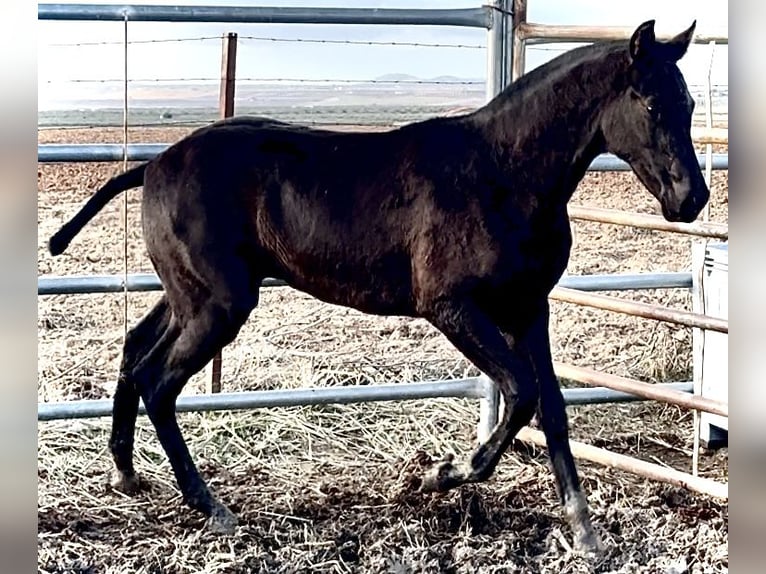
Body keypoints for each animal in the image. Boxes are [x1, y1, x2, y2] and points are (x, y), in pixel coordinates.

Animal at [48, 19, 708, 554]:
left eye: (691, 101)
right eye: (652, 105)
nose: (691, 199)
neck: (504, 174)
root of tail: (153, 166)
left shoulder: (528, 309)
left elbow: (552, 409)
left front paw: (585, 531)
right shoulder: (451, 307)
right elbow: (520, 393)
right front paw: (440, 473)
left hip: (189, 296)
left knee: (136, 351)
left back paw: (126, 474)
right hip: (219, 305)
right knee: (159, 381)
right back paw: (212, 508)